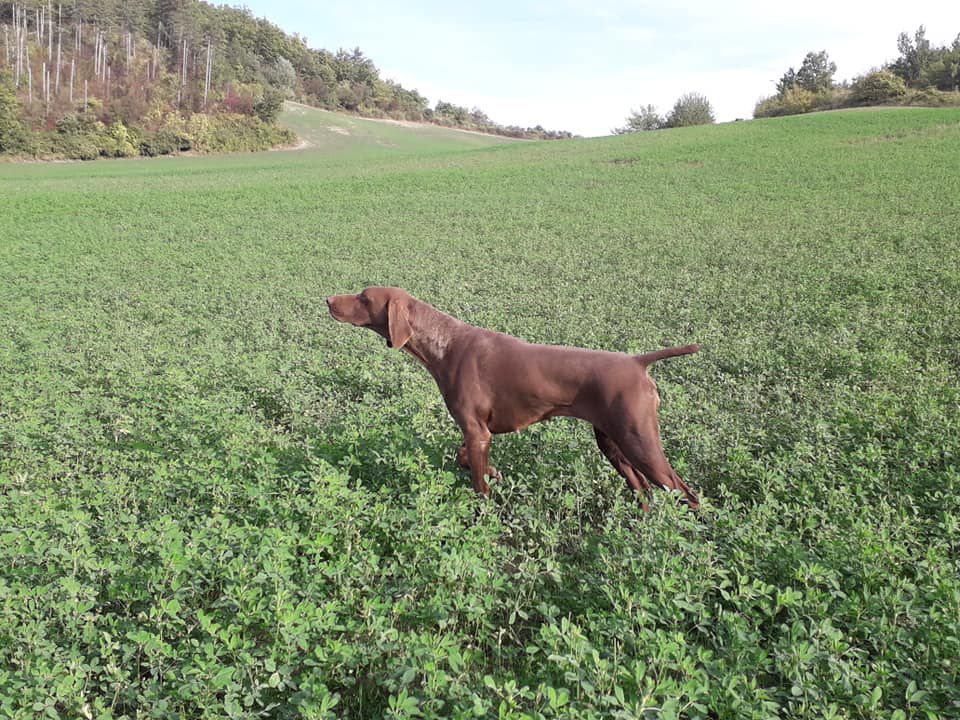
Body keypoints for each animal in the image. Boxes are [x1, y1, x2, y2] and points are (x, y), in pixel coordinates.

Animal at [328, 286, 696, 512]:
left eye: (363, 297)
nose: (328, 300)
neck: (444, 344)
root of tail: (637, 361)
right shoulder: (477, 434)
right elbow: (464, 457)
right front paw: (496, 473)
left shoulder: (477, 432)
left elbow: (478, 484)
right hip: (611, 442)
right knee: (642, 488)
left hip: (640, 442)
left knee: (686, 493)